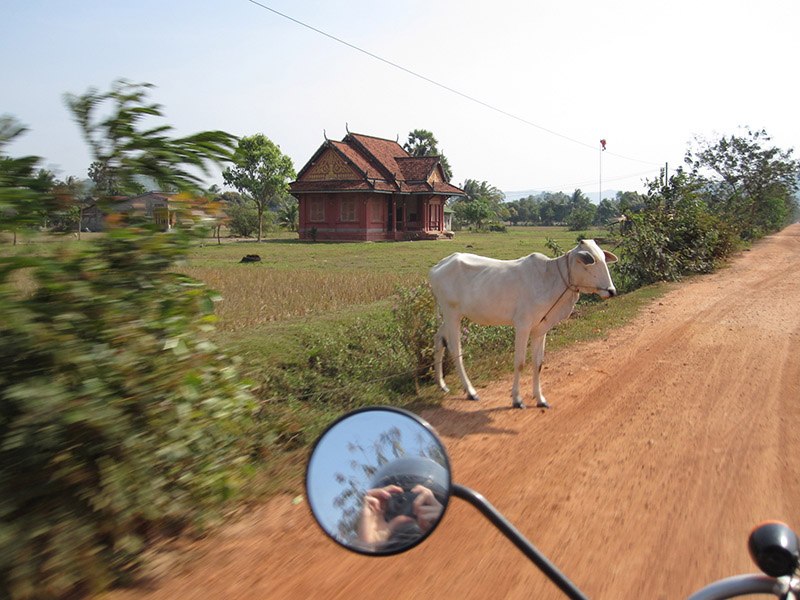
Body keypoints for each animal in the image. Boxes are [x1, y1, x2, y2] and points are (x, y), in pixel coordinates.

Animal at [428, 239, 616, 408]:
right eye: (591, 261)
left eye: (603, 258)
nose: (611, 291)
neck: (552, 277)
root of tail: (437, 267)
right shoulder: (523, 326)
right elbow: (520, 363)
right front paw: (517, 399)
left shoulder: (540, 329)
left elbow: (538, 363)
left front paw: (540, 399)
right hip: (452, 313)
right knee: (455, 349)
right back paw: (470, 391)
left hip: (452, 315)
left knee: (439, 339)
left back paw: (441, 384)